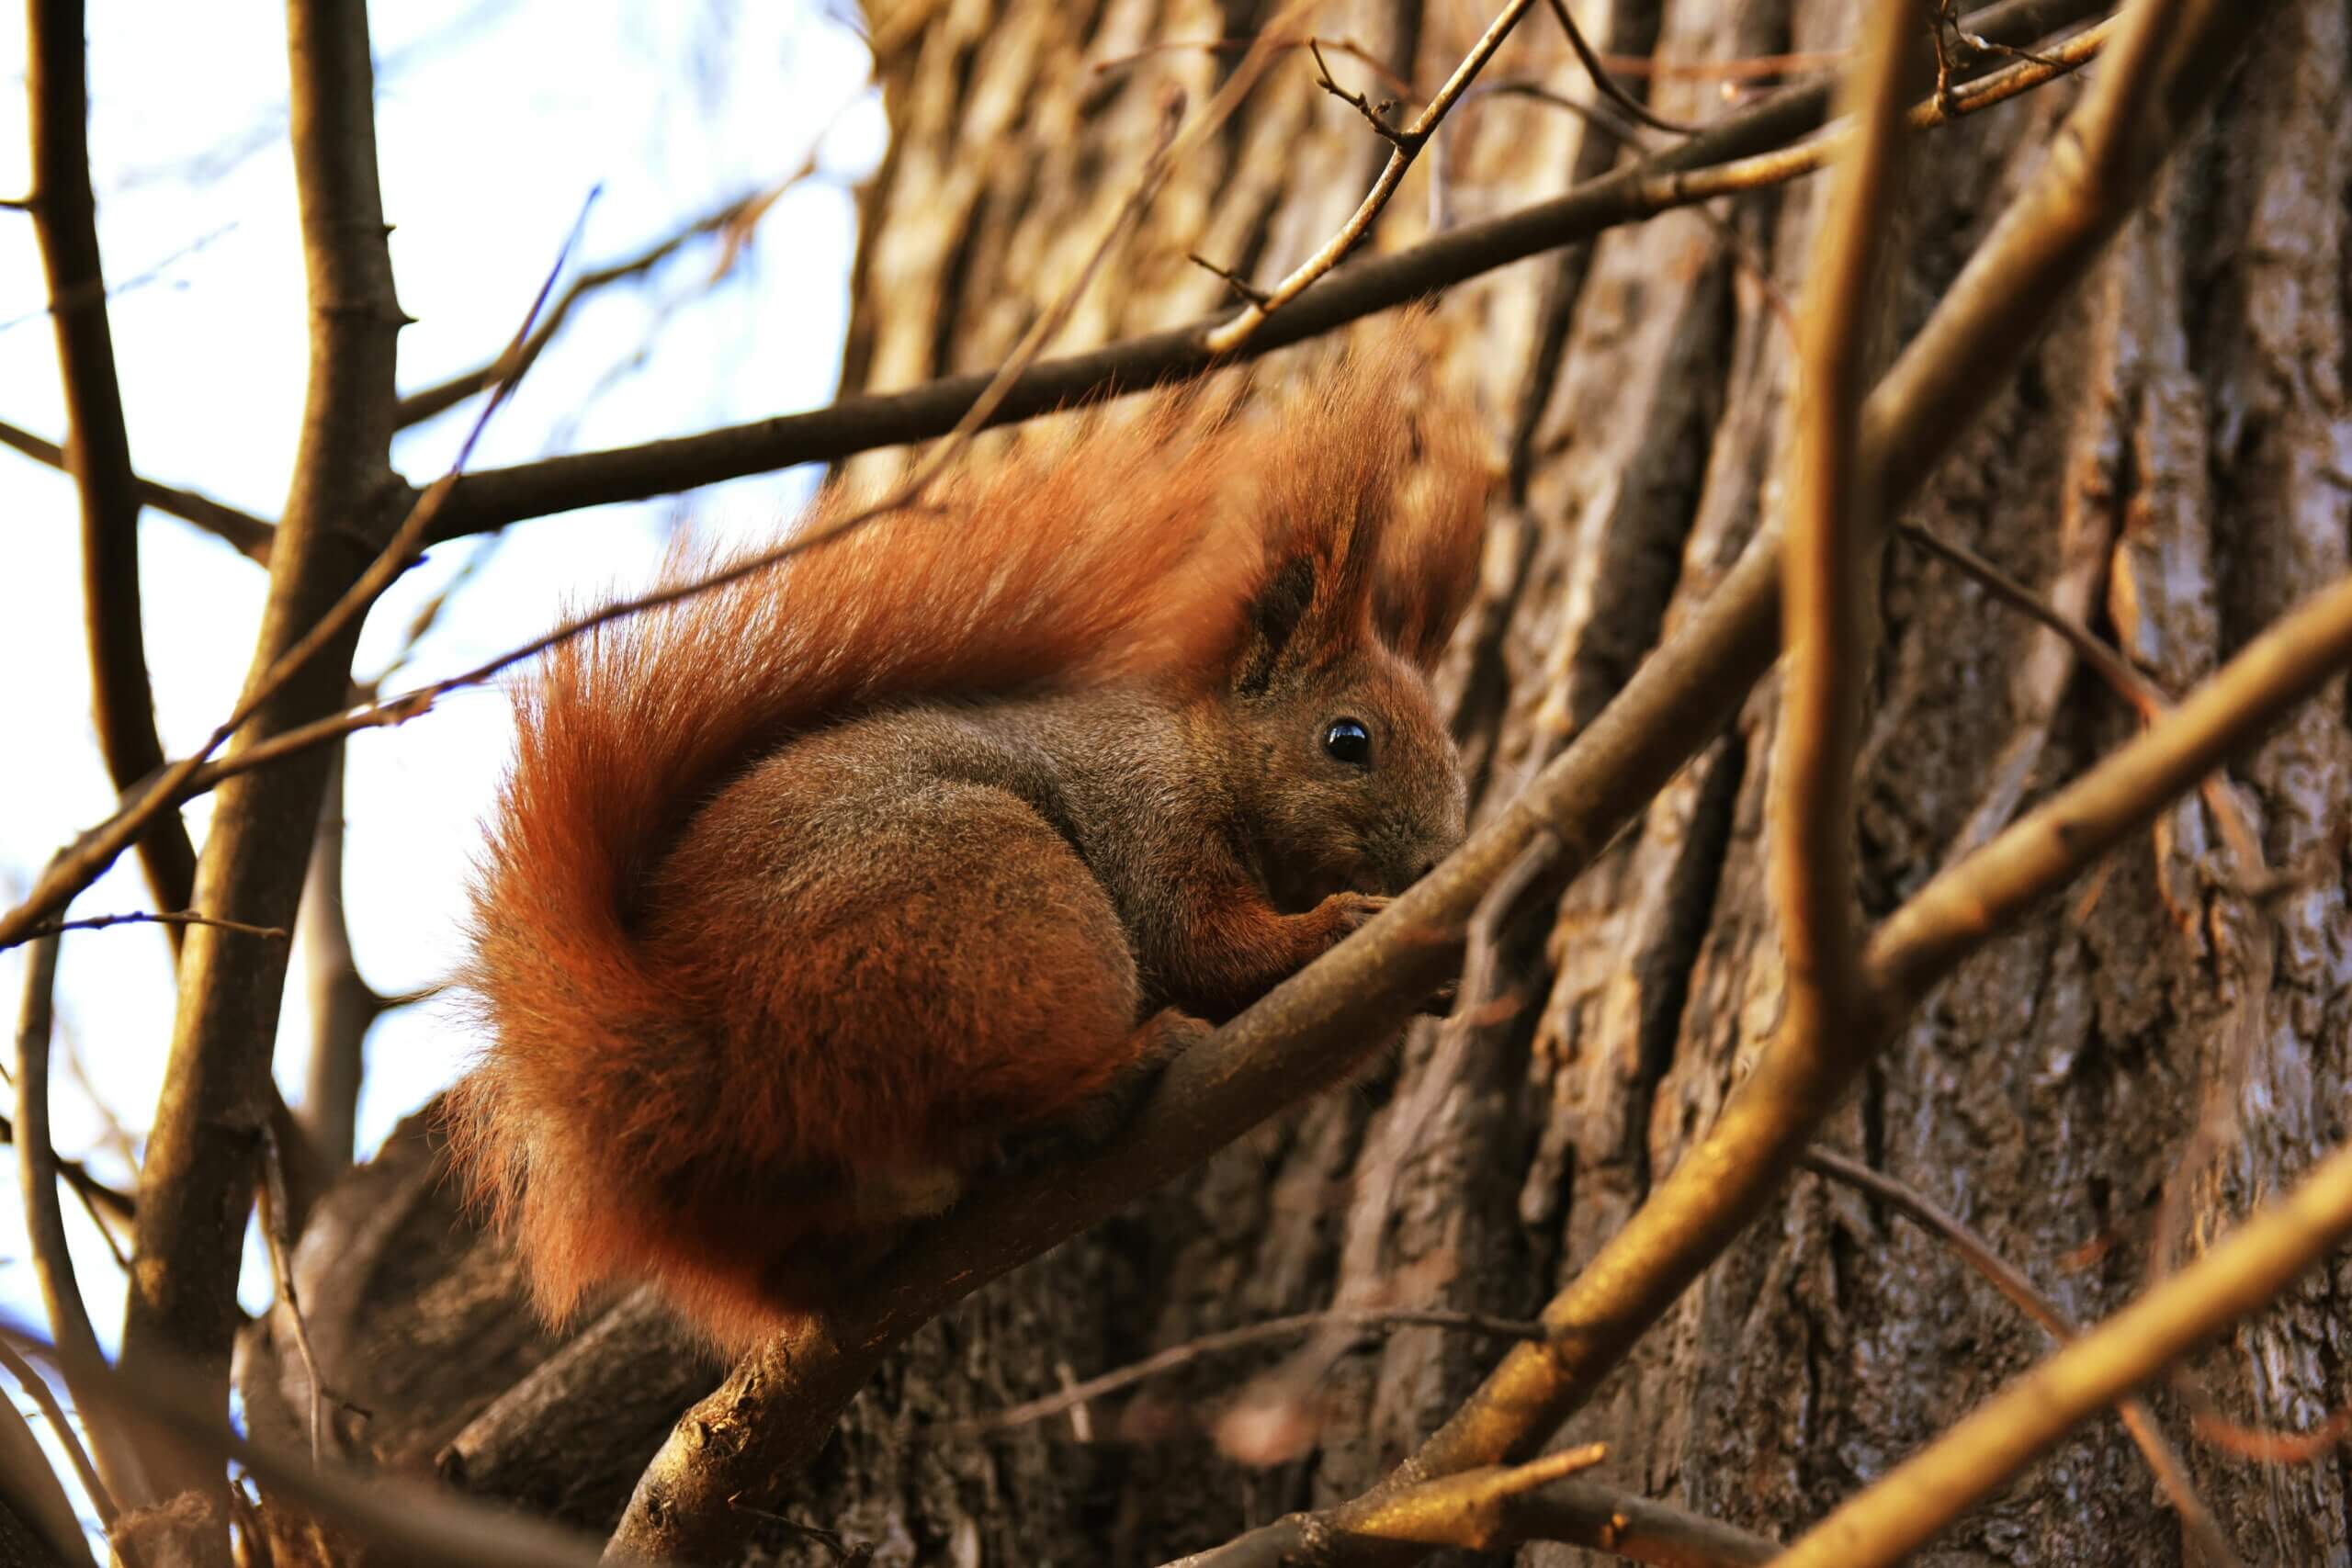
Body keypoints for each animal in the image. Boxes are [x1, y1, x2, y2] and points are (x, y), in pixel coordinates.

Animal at [445, 336, 1491, 1351]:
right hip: (996, 911)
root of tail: (693, 1042)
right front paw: (1340, 924)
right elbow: (1207, 945)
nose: (1435, 863)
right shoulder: (1150, 818)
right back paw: (1109, 1076)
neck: (1203, 752)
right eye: (1347, 740)